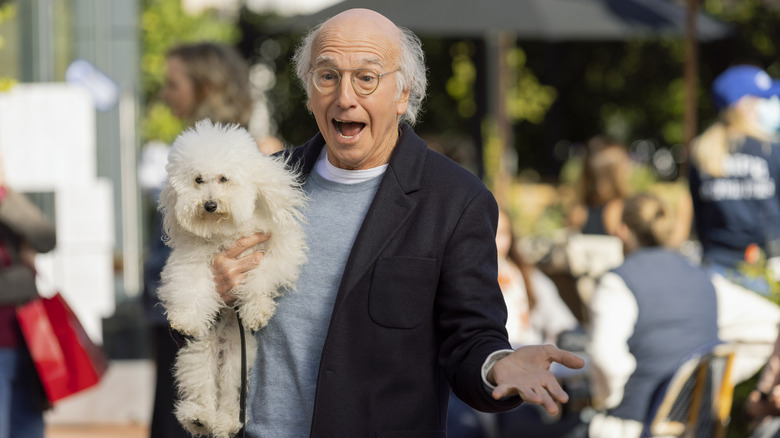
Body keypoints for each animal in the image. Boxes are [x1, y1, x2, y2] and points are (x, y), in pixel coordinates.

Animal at [157, 120, 306, 438]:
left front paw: (255, 310)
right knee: (201, 386)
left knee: (229, 393)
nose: (210, 204)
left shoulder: (279, 248)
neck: (224, 232)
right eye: (198, 180)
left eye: (224, 178)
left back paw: (225, 421)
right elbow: (192, 288)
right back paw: (199, 417)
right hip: (198, 352)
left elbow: (261, 277)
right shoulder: (191, 261)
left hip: (238, 359)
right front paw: (187, 318)